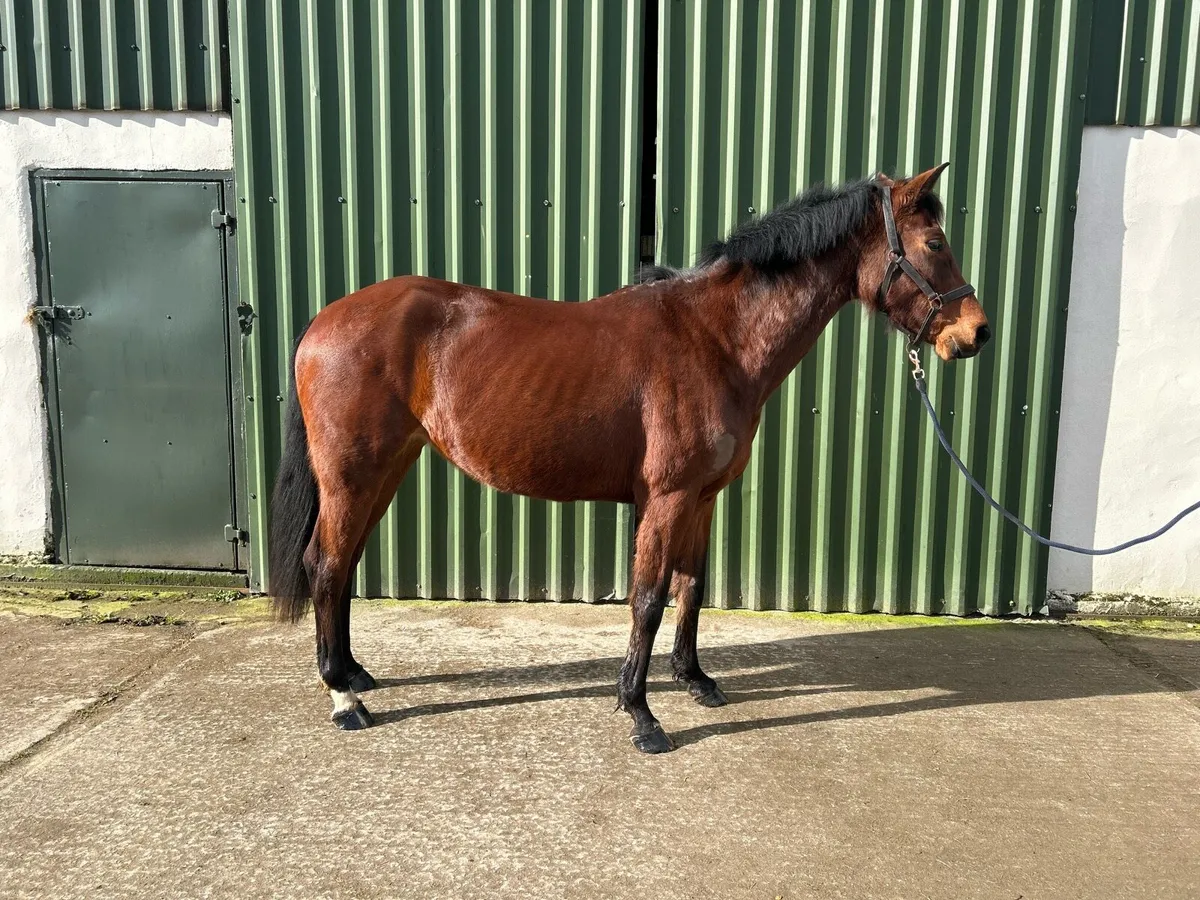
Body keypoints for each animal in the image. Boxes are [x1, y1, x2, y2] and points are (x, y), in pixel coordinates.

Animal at [268, 163, 990, 753]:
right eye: (934, 244)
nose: (976, 333)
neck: (717, 339)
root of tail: (324, 320)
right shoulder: (665, 499)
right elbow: (648, 597)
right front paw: (642, 715)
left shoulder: (702, 499)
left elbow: (691, 588)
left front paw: (696, 681)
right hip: (352, 476)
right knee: (325, 564)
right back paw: (343, 698)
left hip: (384, 471)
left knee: (344, 565)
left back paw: (355, 673)